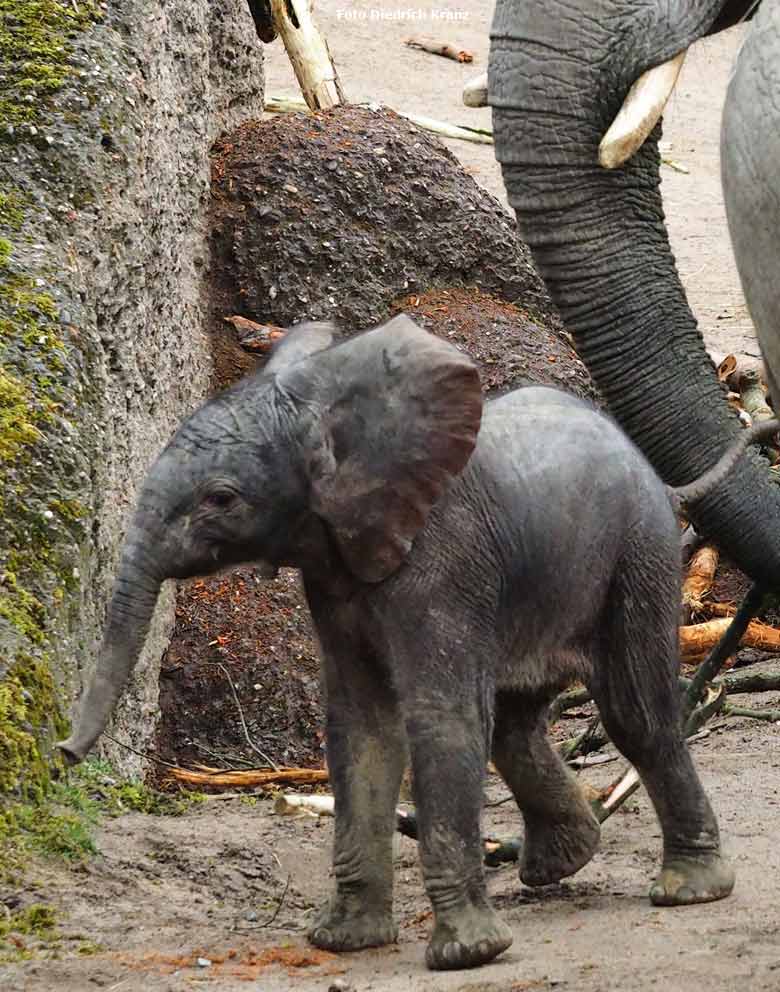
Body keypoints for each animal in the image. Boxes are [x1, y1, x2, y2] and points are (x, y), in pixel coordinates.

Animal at [58, 316, 736, 968]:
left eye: (221, 498)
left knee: (632, 711)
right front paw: (346, 942)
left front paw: (467, 955)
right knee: (514, 723)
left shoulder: (445, 561)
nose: (63, 753)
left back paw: (689, 889)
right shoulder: (335, 578)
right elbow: (363, 726)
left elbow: (440, 719)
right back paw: (559, 863)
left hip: (639, 550)